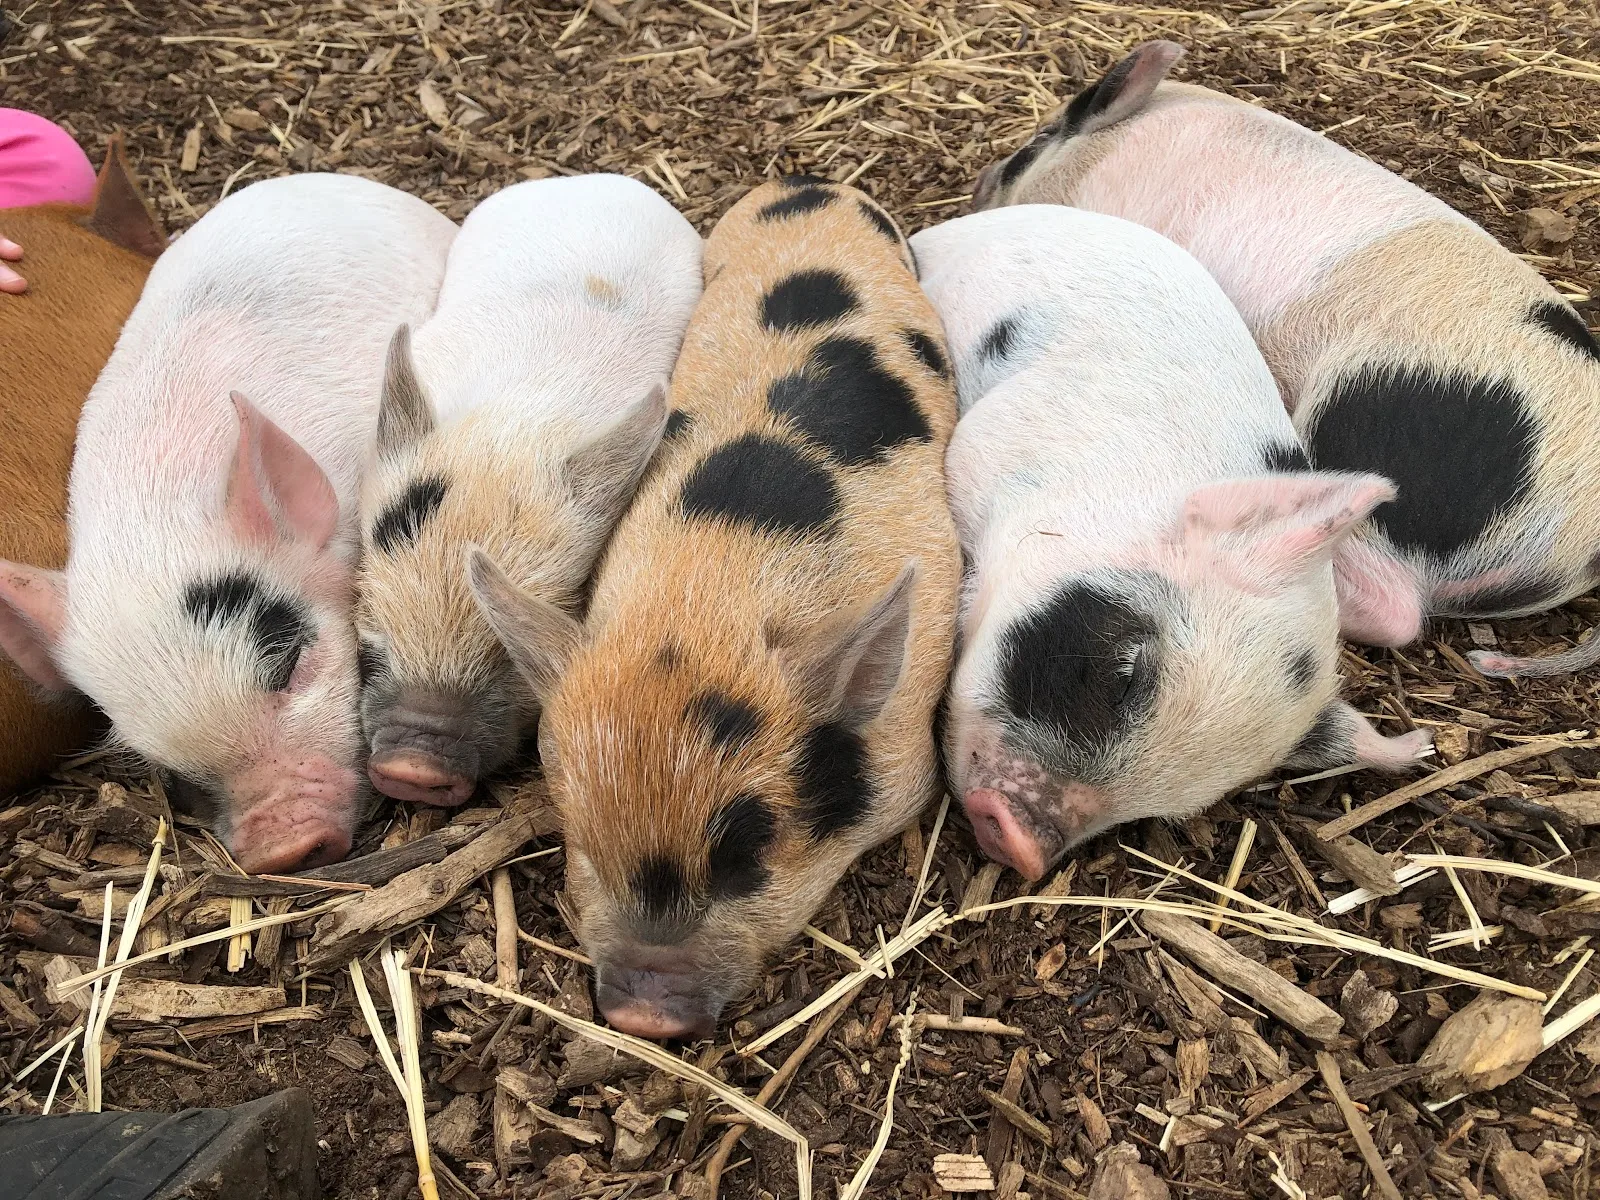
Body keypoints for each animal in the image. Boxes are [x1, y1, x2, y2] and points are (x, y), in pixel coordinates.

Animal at [973, 41, 1600, 678]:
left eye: (1031, 145)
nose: (978, 183)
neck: (1106, 150)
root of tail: (1583, 546)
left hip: (1359, 429)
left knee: (1392, 605)